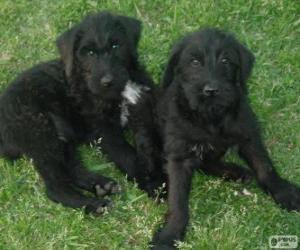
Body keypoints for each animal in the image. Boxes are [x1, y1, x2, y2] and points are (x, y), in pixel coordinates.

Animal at [0, 11, 162, 214]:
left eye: (116, 45)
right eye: (89, 53)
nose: (107, 81)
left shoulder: (145, 109)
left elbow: (149, 140)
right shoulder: (104, 132)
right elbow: (128, 156)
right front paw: (155, 186)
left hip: (62, 137)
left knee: (72, 169)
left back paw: (101, 185)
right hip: (41, 136)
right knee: (55, 186)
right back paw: (94, 204)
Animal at [152, 27, 300, 248]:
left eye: (225, 61)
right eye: (194, 62)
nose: (211, 90)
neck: (211, 116)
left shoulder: (249, 135)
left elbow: (265, 166)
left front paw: (284, 192)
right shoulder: (179, 155)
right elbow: (178, 200)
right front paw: (170, 234)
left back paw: (235, 171)